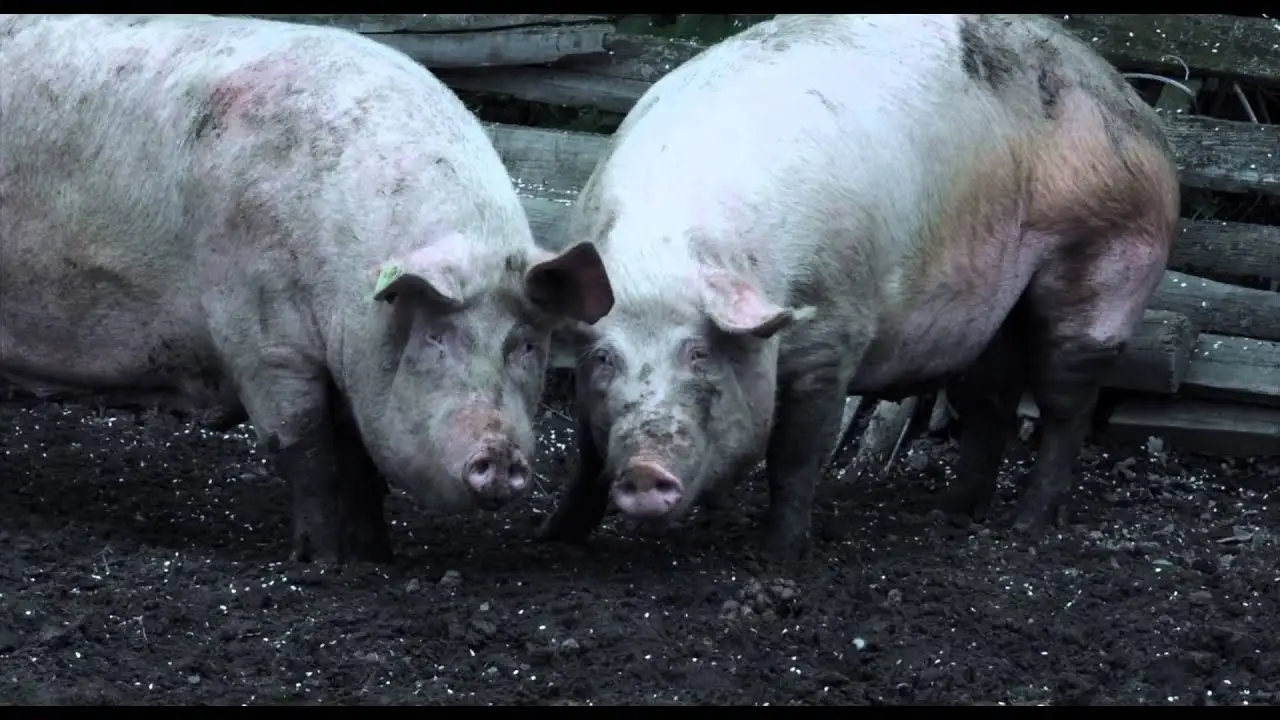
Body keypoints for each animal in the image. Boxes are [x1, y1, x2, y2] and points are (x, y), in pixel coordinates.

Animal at [0, 14, 614, 563]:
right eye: (436, 339)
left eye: (526, 345)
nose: (501, 455)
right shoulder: (261, 336)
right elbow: (306, 446)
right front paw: (322, 563)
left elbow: (360, 461)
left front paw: (377, 558)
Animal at [539, 14, 1178, 559]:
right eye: (604, 358)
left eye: (699, 353)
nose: (644, 472)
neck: (662, 255)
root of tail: (1137, 108)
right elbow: (587, 456)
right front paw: (556, 537)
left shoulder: (834, 331)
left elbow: (797, 455)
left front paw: (778, 557)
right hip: (986, 316)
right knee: (991, 403)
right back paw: (949, 514)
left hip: (1105, 262)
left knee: (1066, 404)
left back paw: (1026, 526)